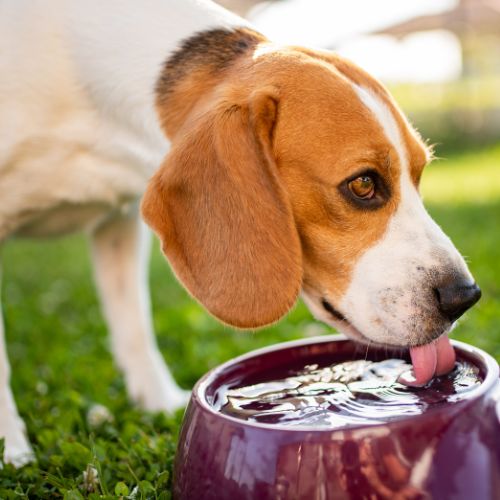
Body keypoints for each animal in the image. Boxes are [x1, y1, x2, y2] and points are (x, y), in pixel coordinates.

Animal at [0, 0, 480, 466]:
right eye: (363, 184)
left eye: (419, 174)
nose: (464, 296)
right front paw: (13, 453)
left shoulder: (119, 221)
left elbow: (134, 325)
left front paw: (158, 403)